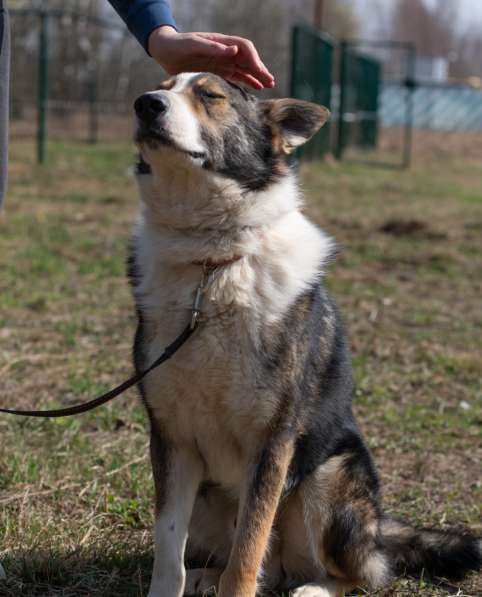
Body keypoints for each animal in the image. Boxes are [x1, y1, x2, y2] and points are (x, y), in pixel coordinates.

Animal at [127, 74, 478, 596]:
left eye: (210, 96)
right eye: (163, 85)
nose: (145, 104)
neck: (212, 264)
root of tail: (380, 527)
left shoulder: (273, 445)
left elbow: (248, 551)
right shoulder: (172, 440)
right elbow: (170, 551)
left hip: (326, 479)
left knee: (361, 573)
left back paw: (314, 587)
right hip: (211, 497)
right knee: (256, 565)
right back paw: (208, 577)